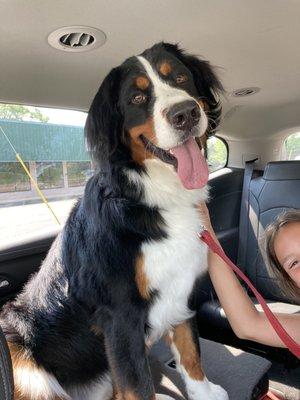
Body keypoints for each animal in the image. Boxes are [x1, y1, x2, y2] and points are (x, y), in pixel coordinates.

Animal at [0, 43, 227, 400]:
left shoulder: (181, 288)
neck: (149, 196)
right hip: (23, 363)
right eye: (137, 98)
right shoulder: (120, 314)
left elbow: (190, 350)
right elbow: (138, 385)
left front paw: (205, 392)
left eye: (180, 78)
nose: (185, 113)